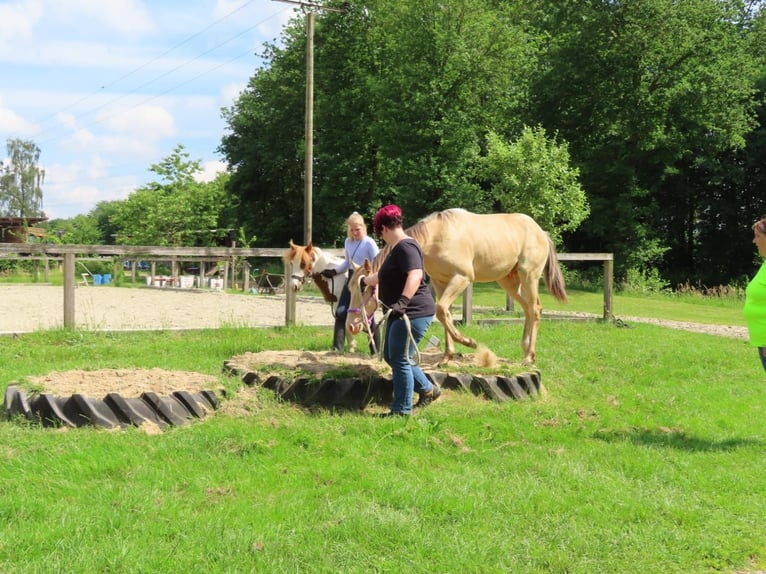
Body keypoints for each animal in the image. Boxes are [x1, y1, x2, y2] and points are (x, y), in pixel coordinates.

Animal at [344, 210, 568, 364]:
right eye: (350, 288)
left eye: (364, 288)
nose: (351, 326)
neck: (436, 237)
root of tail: (541, 232)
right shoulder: (440, 283)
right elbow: (446, 314)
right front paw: (448, 356)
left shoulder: (462, 278)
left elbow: (441, 310)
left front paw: (468, 342)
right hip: (509, 282)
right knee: (528, 309)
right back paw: (526, 349)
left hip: (528, 276)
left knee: (535, 309)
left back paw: (529, 356)